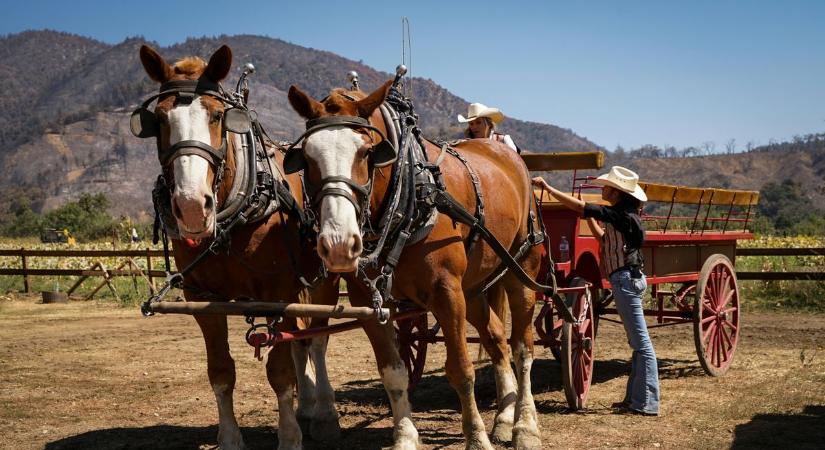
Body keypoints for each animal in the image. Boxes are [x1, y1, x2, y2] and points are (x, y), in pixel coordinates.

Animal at [138, 45, 342, 450]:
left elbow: (280, 371)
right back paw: (307, 407)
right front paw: (231, 438)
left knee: (316, 340)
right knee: (300, 343)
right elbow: (221, 372)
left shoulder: (278, 293)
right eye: (159, 118)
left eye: (217, 116)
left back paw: (325, 413)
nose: (191, 206)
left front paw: (289, 437)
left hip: (323, 279)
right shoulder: (202, 298)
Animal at [286, 81, 544, 450]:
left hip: (521, 268)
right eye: (307, 157)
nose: (338, 243)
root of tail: (509, 156)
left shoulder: (447, 293)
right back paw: (505, 419)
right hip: (473, 288)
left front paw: (477, 438)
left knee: (523, 347)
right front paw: (406, 437)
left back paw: (525, 426)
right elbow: (393, 372)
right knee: (497, 338)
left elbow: (460, 369)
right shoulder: (369, 301)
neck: (409, 194)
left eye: (367, 152)